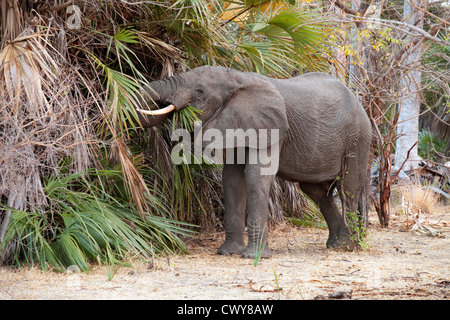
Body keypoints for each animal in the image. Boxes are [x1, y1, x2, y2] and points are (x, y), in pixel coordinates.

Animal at [136, 66, 372, 258]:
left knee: (348, 188)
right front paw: (228, 252)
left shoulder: (271, 126)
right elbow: (231, 179)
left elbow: (256, 175)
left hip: (357, 138)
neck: (237, 77)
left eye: (199, 91)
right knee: (317, 191)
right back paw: (335, 244)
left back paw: (346, 246)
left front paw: (254, 256)